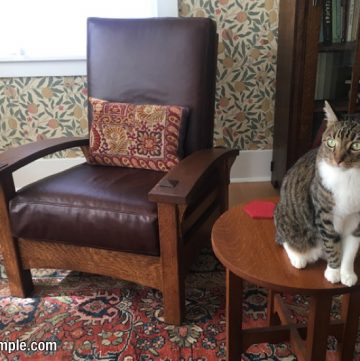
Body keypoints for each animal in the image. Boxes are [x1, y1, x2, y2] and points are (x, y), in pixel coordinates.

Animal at [274, 100, 360, 286]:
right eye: (331, 142)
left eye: (356, 145)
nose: (338, 160)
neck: (351, 177)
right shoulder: (324, 214)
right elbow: (331, 243)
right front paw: (334, 272)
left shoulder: (358, 219)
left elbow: (352, 247)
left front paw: (347, 273)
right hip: (286, 217)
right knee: (285, 239)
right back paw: (298, 257)